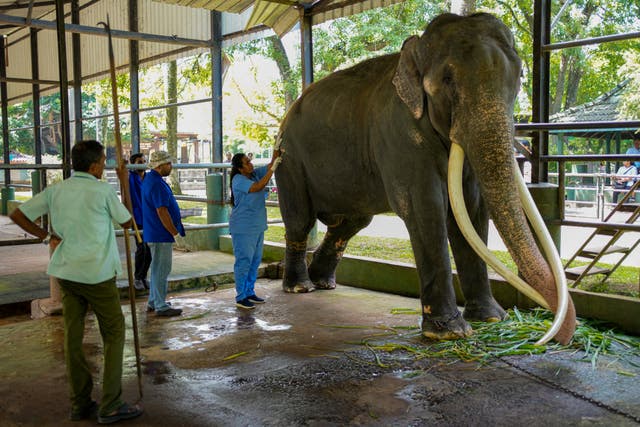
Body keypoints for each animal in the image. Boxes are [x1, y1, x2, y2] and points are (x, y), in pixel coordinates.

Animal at [274, 13, 576, 346]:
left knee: (351, 222)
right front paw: (449, 333)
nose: (553, 337)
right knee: (300, 220)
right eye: (447, 80)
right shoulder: (399, 134)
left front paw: (491, 318)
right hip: (289, 161)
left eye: (520, 75)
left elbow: (472, 210)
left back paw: (323, 282)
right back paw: (300, 287)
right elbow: (425, 208)